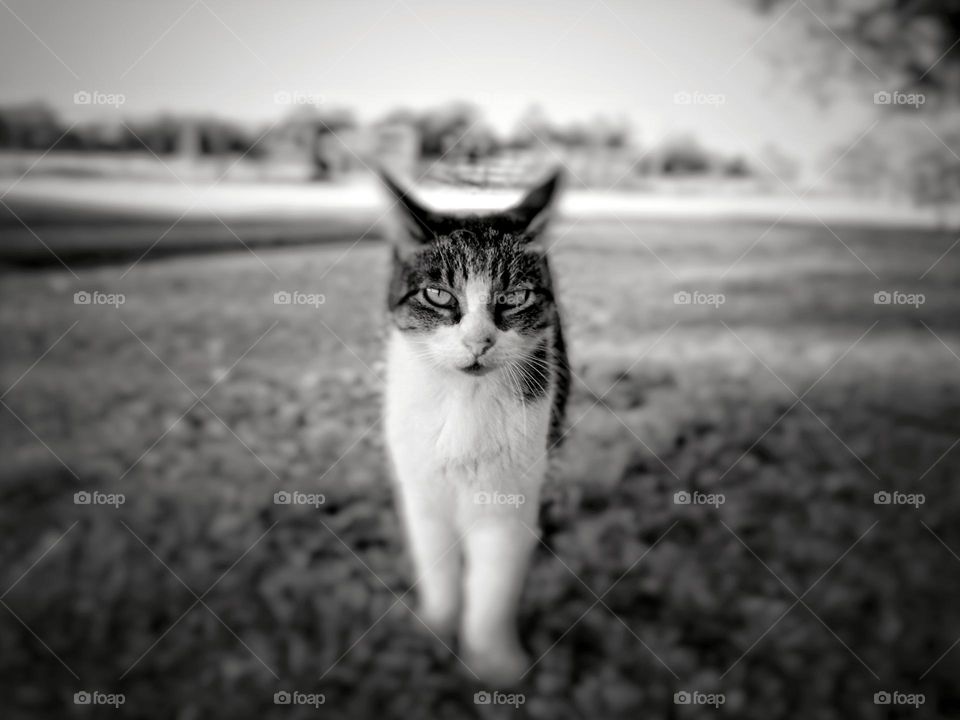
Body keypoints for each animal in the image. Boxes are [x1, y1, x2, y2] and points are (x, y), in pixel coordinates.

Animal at [378, 170, 568, 688]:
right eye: (440, 295)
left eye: (514, 297)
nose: (479, 341)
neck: (463, 402)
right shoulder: (420, 490)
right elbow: (437, 566)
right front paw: (435, 630)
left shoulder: (507, 500)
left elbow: (493, 585)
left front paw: (494, 663)